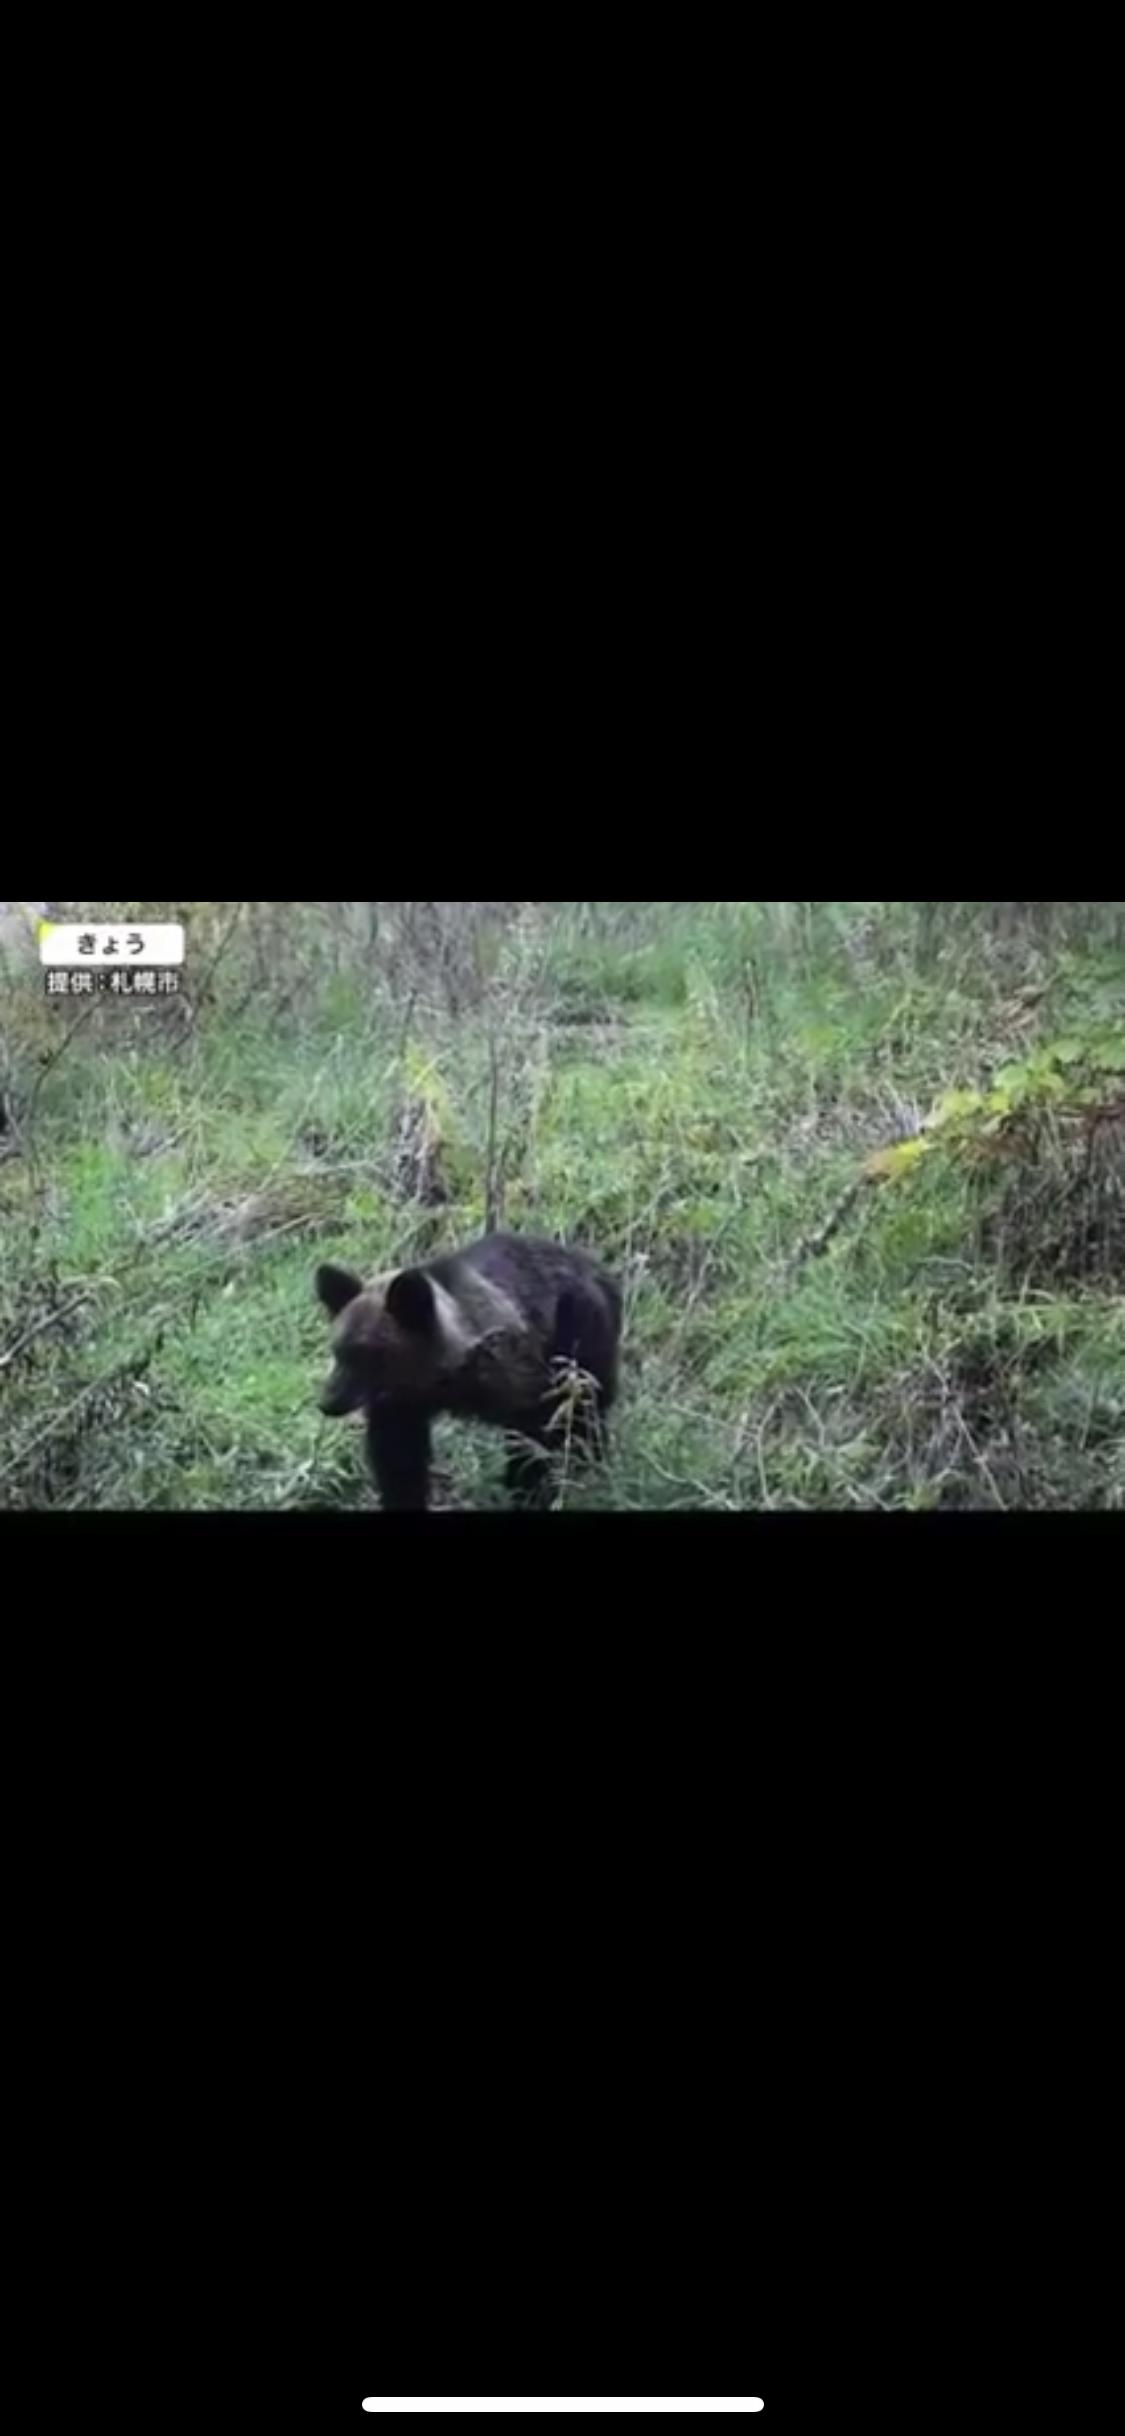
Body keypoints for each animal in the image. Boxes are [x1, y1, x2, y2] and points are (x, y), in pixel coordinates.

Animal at [315, 1231, 622, 1511]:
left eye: (367, 1354)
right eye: (338, 1350)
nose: (328, 1402)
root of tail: (600, 1269)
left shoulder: (519, 1379)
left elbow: (532, 1439)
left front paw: (529, 1492)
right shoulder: (401, 1406)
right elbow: (399, 1460)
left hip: (579, 1337)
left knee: (585, 1411)